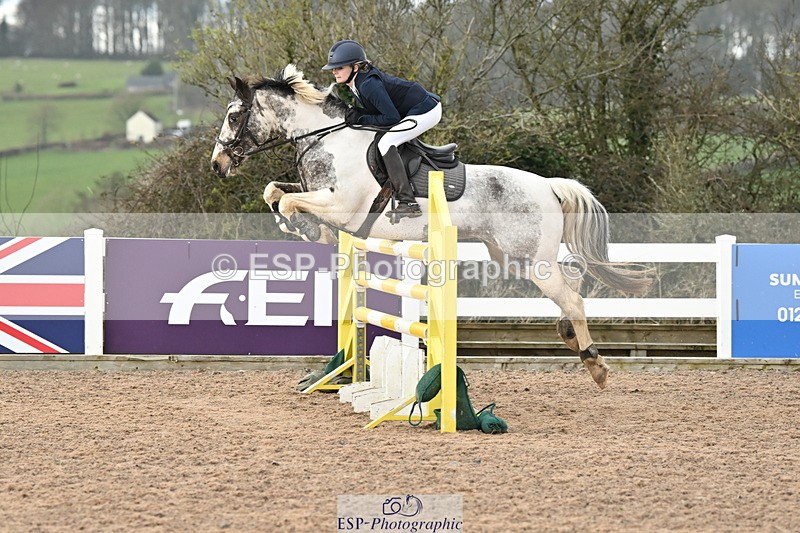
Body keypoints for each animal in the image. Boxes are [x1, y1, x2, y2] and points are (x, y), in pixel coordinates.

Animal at [211, 64, 652, 389]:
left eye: (234, 116)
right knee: (570, 287)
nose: (217, 165)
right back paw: (570, 337)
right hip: (512, 257)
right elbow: (274, 191)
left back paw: (596, 365)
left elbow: (288, 201)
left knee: (573, 298)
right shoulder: (318, 195)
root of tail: (549, 185)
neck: (326, 139)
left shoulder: (342, 206)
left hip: (530, 258)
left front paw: (306, 228)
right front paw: (302, 229)